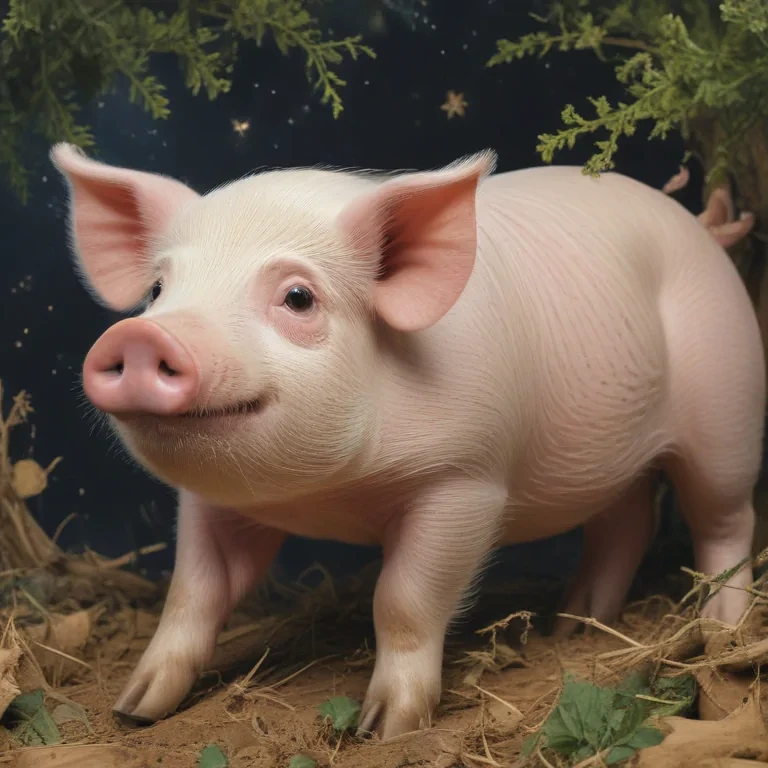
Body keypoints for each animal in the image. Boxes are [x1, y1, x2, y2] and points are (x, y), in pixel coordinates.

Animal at [50, 142, 765, 741]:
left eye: (298, 297)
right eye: (158, 289)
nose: (143, 335)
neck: (329, 498)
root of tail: (701, 228)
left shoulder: (465, 481)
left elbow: (403, 597)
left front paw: (384, 728)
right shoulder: (209, 500)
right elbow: (192, 592)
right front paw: (134, 708)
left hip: (727, 406)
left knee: (724, 521)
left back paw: (720, 632)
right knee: (626, 522)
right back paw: (574, 622)